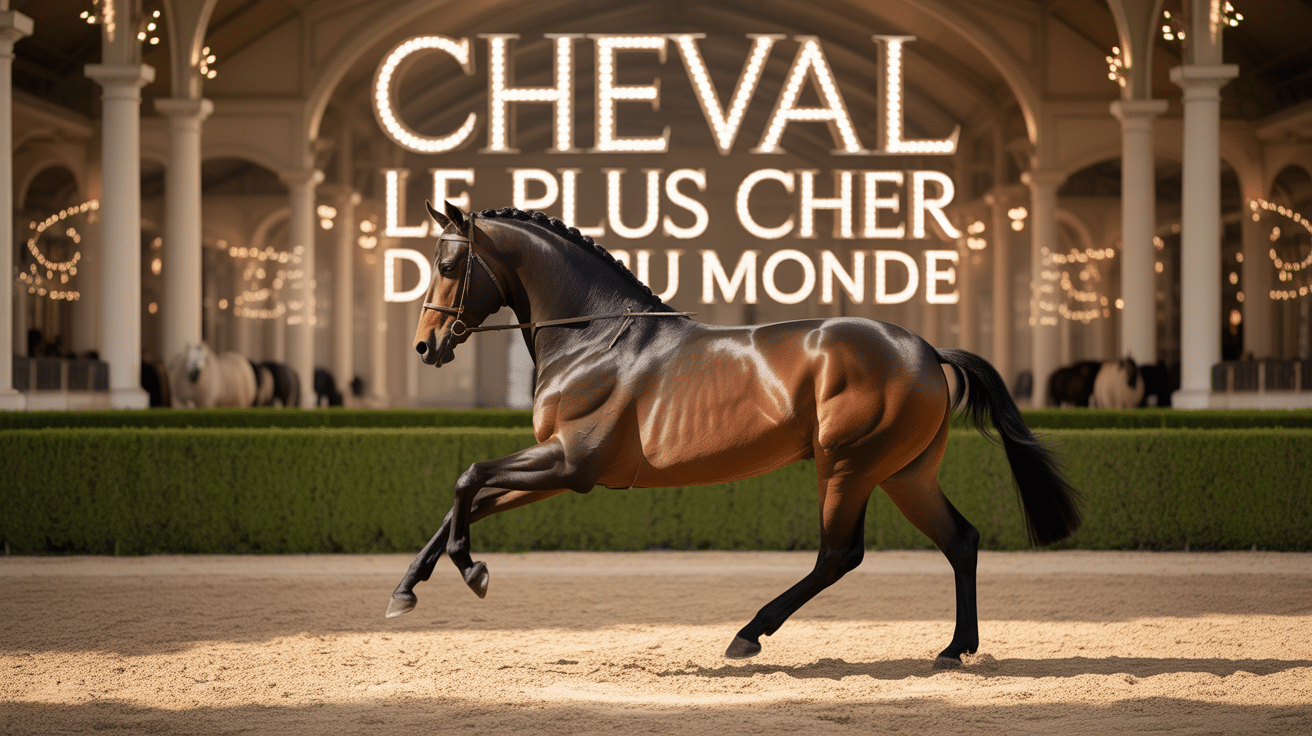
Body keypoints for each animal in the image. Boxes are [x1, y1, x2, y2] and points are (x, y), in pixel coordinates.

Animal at [388, 201, 1081, 668]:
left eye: (448, 262)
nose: (425, 345)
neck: (595, 337)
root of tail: (929, 351)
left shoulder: (571, 464)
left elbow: (467, 479)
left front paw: (472, 570)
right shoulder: (559, 472)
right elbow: (468, 500)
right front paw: (405, 591)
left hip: (849, 467)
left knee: (839, 554)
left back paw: (748, 634)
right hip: (905, 474)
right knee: (959, 540)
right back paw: (955, 647)